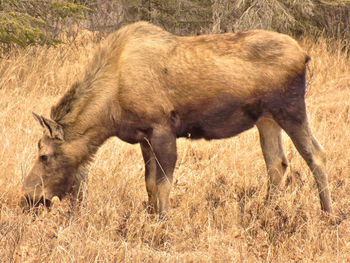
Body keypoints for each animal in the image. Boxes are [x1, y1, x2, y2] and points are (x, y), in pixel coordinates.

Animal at [20, 22, 332, 217]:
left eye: (44, 155)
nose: (28, 197)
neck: (109, 109)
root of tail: (305, 55)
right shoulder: (143, 138)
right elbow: (148, 184)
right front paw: (150, 216)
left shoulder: (163, 131)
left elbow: (163, 185)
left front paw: (163, 223)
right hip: (266, 119)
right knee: (277, 164)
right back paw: (269, 211)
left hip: (290, 109)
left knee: (316, 154)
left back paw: (328, 213)